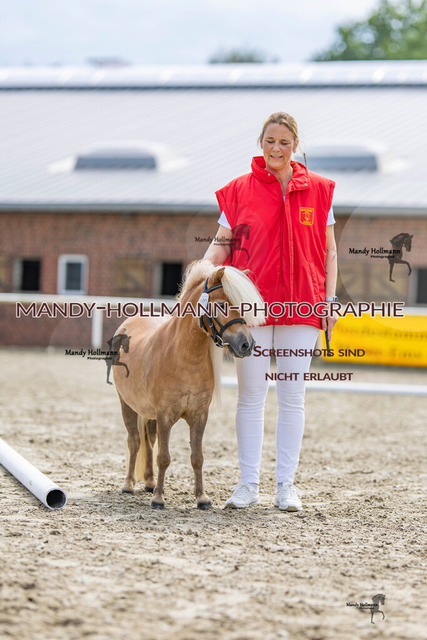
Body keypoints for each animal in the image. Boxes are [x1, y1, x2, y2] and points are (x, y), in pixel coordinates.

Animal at [112, 260, 265, 509]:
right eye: (221, 305)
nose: (246, 344)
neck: (183, 356)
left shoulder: (199, 416)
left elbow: (197, 457)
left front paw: (202, 498)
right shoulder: (165, 415)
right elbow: (164, 457)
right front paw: (159, 499)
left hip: (149, 415)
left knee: (148, 441)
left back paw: (150, 483)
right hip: (127, 405)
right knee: (134, 441)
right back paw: (128, 485)